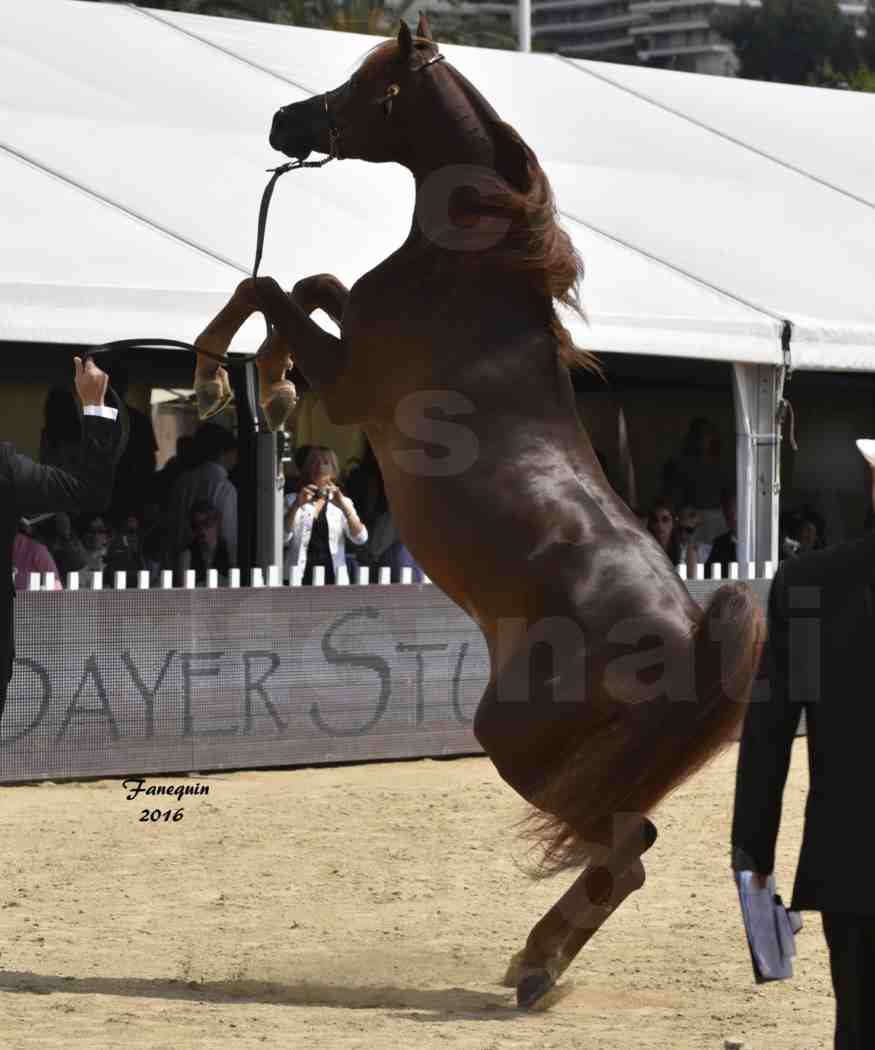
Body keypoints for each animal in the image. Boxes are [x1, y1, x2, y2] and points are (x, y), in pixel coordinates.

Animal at [193, 16, 764, 1012]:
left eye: (366, 84)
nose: (283, 121)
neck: (470, 276)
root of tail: (693, 635)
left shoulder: (356, 387)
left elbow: (271, 289)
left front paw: (217, 374)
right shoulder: (352, 329)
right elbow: (313, 284)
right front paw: (265, 377)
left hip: (519, 745)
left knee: (627, 855)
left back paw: (534, 968)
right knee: (631, 848)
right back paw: (536, 963)